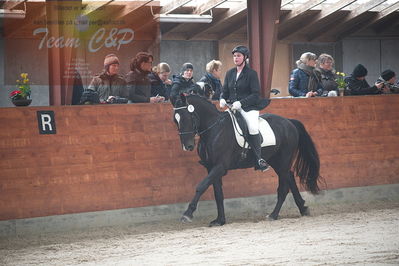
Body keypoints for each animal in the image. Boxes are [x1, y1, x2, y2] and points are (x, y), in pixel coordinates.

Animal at [173, 94, 322, 225]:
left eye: (188, 117)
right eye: (175, 120)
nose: (187, 146)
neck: (214, 130)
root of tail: (289, 122)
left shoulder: (220, 167)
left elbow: (201, 186)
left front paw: (187, 214)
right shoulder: (211, 168)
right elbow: (218, 193)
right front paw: (220, 220)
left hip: (283, 160)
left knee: (283, 188)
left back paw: (273, 215)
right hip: (277, 161)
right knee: (290, 177)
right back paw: (303, 208)